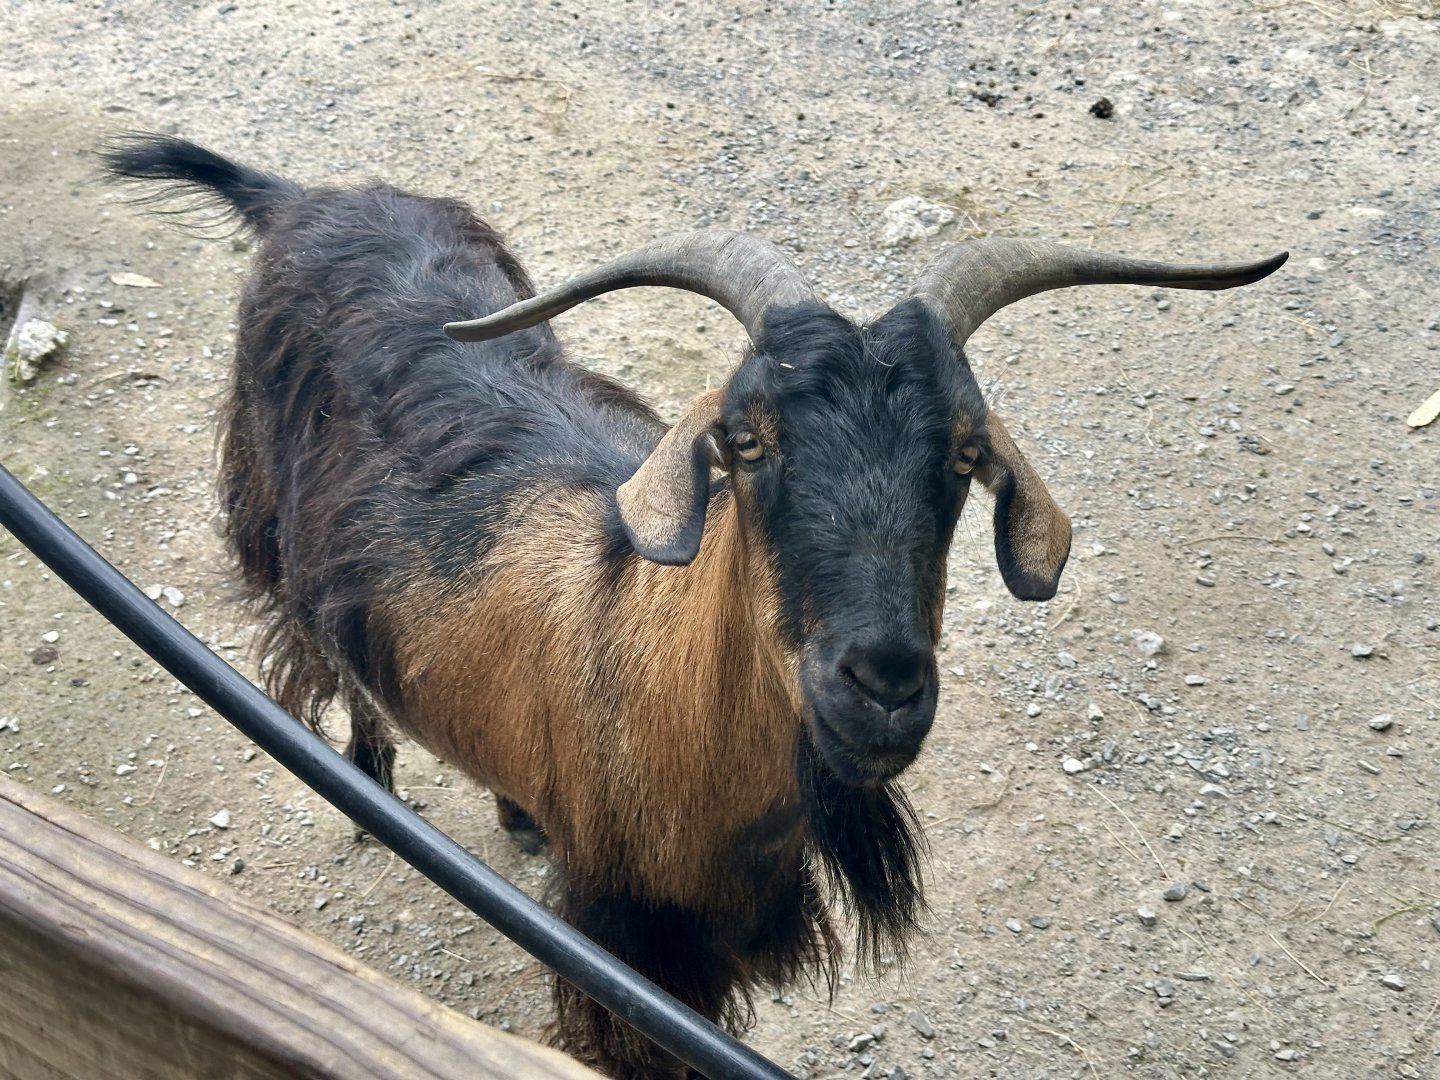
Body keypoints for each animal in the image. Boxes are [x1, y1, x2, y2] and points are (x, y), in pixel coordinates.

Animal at [102, 133, 1285, 1078]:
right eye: (746, 441)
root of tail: (307, 199)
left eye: (963, 454)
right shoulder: (628, 958)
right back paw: (367, 780)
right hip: (272, 516)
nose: (883, 685)